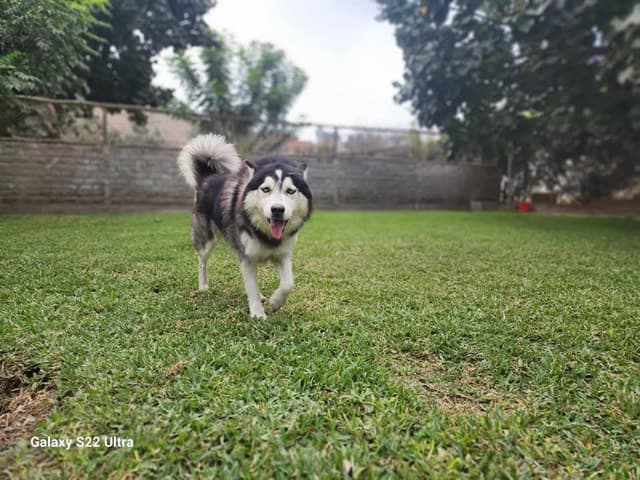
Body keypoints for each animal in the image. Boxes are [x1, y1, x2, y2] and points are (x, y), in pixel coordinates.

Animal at [178, 134, 312, 318]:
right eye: (265, 189)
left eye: (290, 191)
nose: (277, 210)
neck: (265, 233)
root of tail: (208, 178)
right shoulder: (247, 258)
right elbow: (252, 287)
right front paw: (258, 314)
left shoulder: (282, 255)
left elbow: (288, 284)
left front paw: (275, 302)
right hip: (207, 242)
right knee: (202, 261)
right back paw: (203, 286)